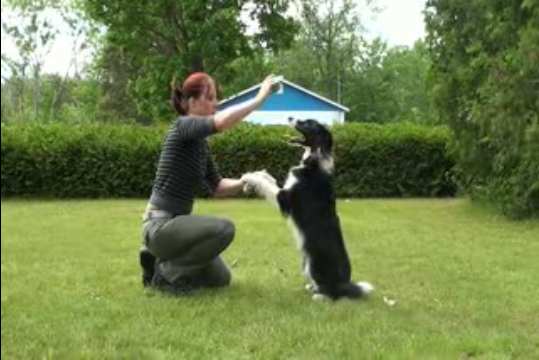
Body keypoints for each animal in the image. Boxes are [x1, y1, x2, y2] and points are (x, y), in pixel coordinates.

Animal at [246, 119, 376, 300]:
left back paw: (319, 297)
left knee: (333, 293)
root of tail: (345, 283)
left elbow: (267, 184)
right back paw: (312, 289)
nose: (290, 116)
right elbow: (268, 178)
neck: (314, 161)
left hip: (314, 264)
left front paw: (248, 176)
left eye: (308, 123)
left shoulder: (285, 198)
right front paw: (258, 173)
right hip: (306, 261)